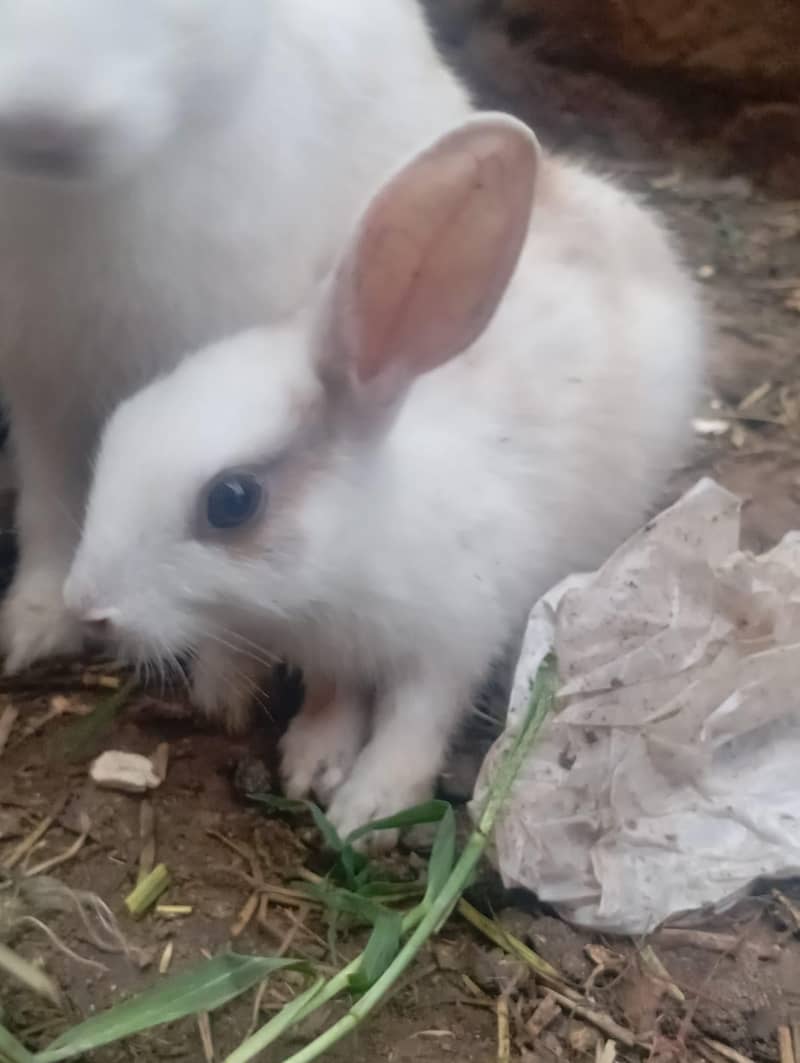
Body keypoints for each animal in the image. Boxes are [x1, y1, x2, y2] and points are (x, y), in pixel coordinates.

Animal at [63, 112, 705, 844]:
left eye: (232, 500)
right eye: (122, 423)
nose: (86, 608)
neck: (357, 541)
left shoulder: (450, 642)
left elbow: (415, 722)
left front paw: (367, 812)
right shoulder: (330, 655)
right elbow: (333, 699)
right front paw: (312, 762)